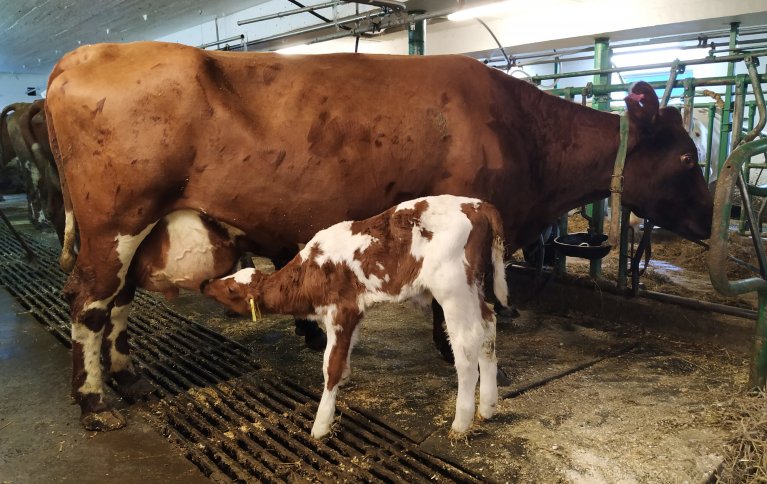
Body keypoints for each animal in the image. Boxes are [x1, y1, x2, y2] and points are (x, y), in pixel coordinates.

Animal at [202, 195, 510, 440]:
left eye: (230, 289)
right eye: (228, 280)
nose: (206, 283)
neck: (311, 270)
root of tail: (478, 205)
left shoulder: (342, 310)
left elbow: (331, 365)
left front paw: (321, 424)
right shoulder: (355, 312)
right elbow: (345, 354)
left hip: (452, 290)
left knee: (467, 347)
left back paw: (461, 424)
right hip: (473, 288)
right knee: (488, 327)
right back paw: (488, 408)